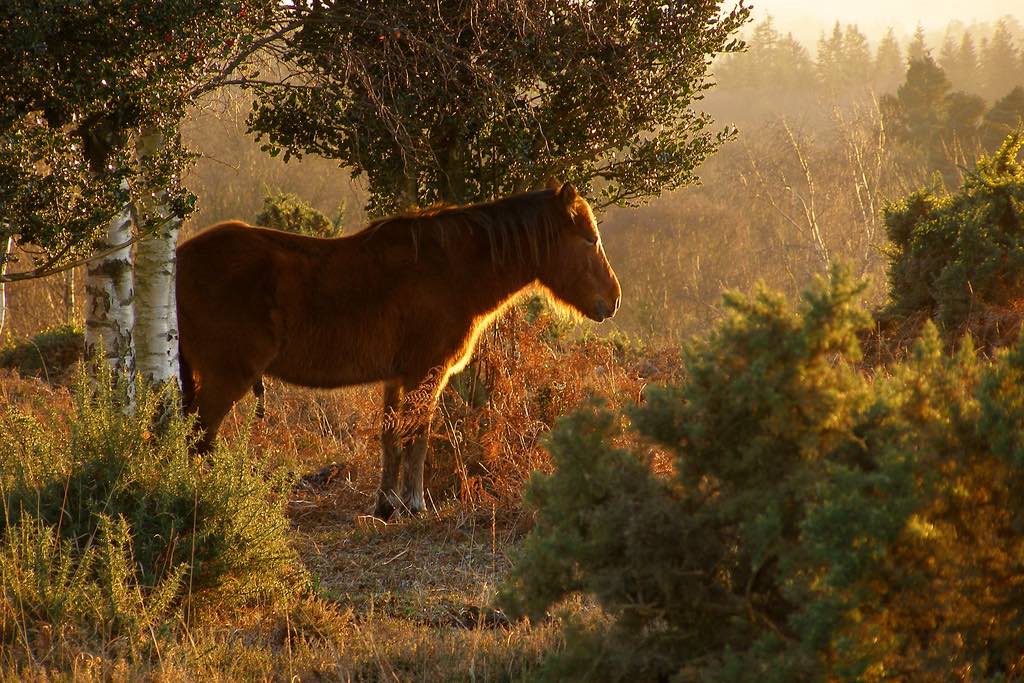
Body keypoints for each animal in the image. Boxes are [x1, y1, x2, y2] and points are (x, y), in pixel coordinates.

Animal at [177, 181, 618, 518]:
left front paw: (386, 504)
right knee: (200, 439)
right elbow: (418, 437)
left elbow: (391, 439)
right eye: (590, 239)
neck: (451, 269)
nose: (613, 300)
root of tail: (179, 258)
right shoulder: (427, 373)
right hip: (225, 378)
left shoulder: (396, 376)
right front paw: (415, 504)